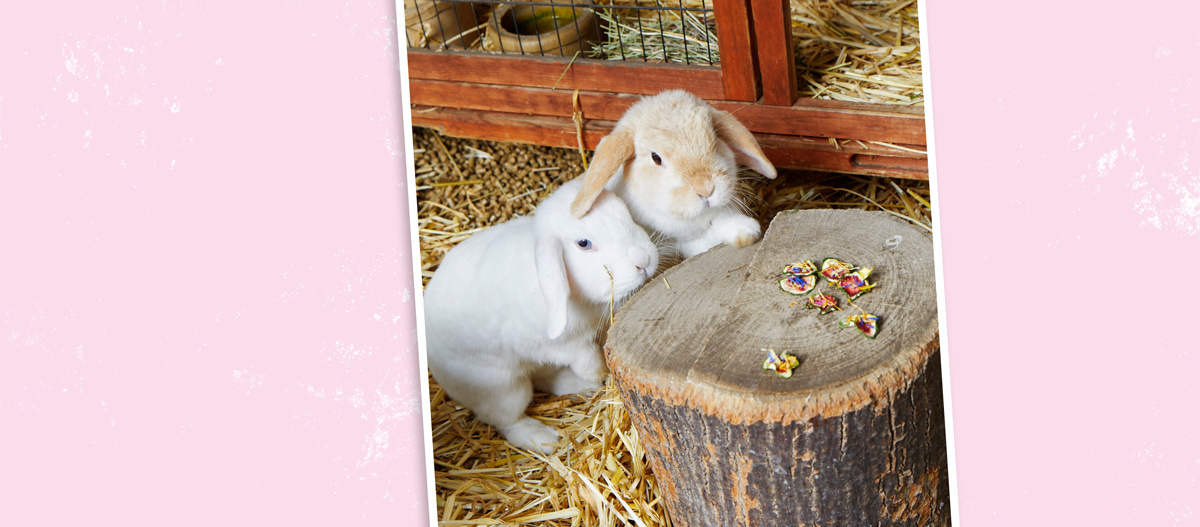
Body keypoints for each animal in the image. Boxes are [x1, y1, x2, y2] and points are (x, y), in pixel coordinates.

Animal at [422, 177, 659, 454]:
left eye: (625, 213)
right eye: (583, 243)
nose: (644, 261)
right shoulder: (559, 346)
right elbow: (587, 358)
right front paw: (600, 375)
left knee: (545, 380)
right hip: (503, 389)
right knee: (509, 420)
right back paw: (546, 438)